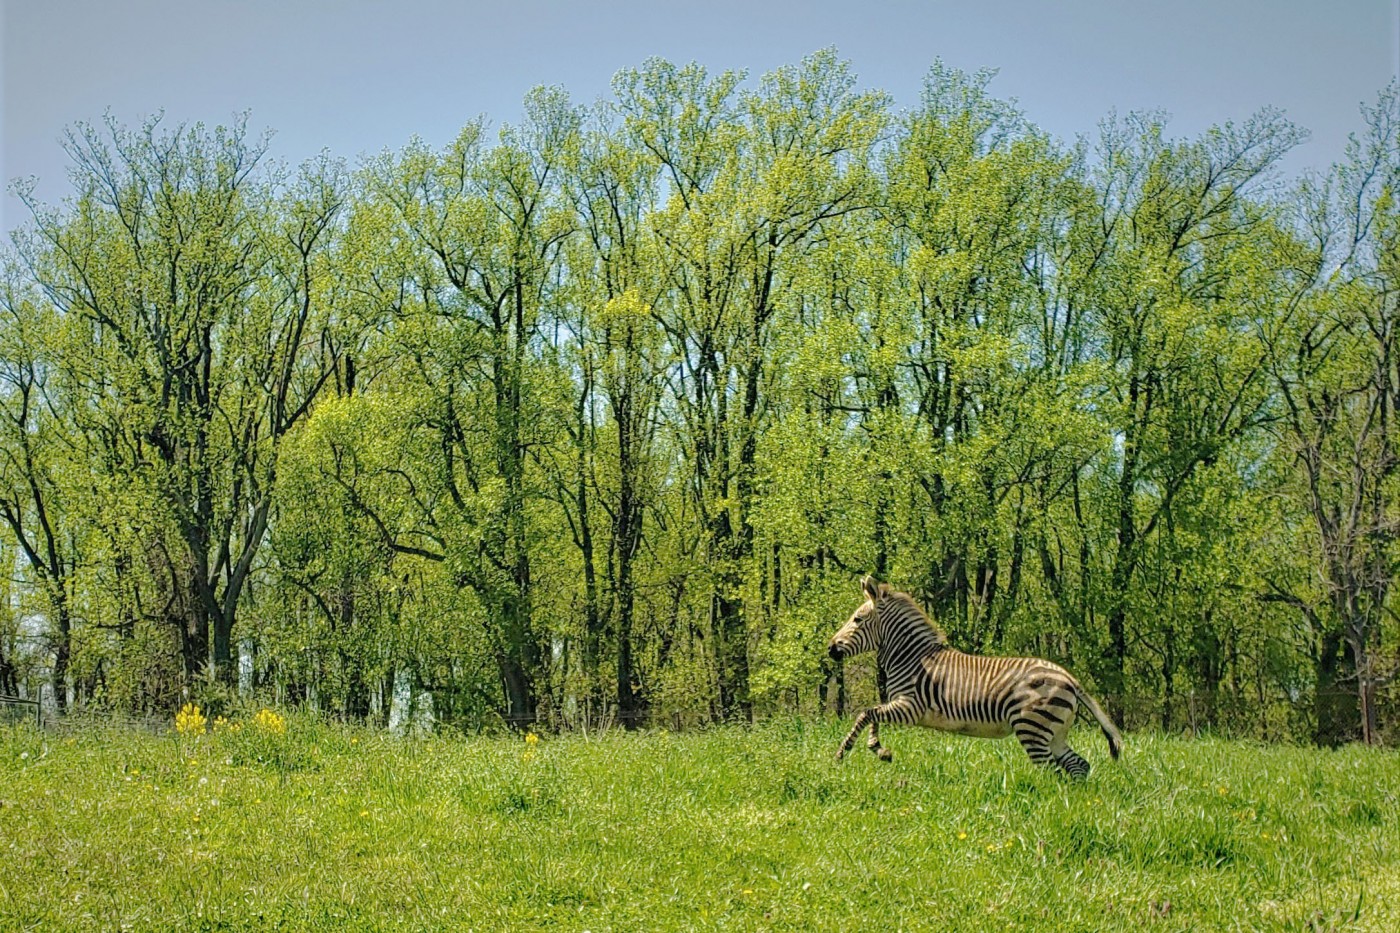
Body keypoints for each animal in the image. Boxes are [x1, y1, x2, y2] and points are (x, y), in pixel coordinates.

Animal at [823, 574, 1120, 778]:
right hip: (1054, 732)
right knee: (1078, 764)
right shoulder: (900, 705)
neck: (913, 657)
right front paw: (880, 750)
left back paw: (1044, 800)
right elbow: (872, 715)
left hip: (1032, 727)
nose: (830, 648)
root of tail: (1070, 679)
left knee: (1052, 770)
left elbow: (866, 713)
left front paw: (843, 753)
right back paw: (1072, 801)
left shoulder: (910, 706)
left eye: (857, 620)